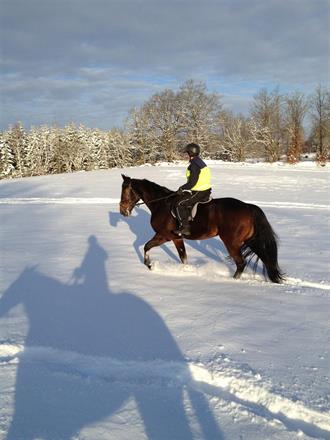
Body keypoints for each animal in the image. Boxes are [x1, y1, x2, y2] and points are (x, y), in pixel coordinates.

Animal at [120, 174, 284, 284]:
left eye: (126, 190)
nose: (122, 211)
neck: (161, 205)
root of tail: (249, 208)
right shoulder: (177, 238)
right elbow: (183, 258)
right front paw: (186, 271)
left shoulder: (163, 236)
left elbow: (146, 247)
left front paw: (149, 265)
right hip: (249, 241)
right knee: (263, 259)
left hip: (231, 242)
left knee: (241, 263)